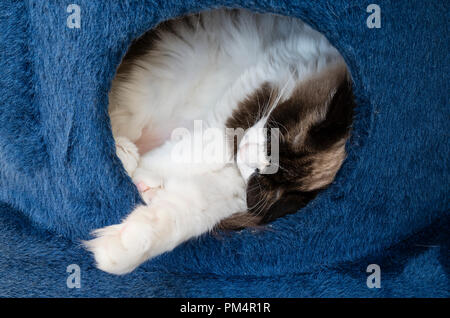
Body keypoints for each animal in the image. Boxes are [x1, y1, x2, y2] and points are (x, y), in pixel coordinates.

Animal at [82, 8, 354, 274]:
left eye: (260, 178)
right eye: (271, 136)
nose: (244, 152)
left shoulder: (233, 191)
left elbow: (184, 214)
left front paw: (120, 247)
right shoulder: (272, 74)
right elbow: (208, 146)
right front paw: (142, 174)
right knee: (119, 120)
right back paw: (124, 153)